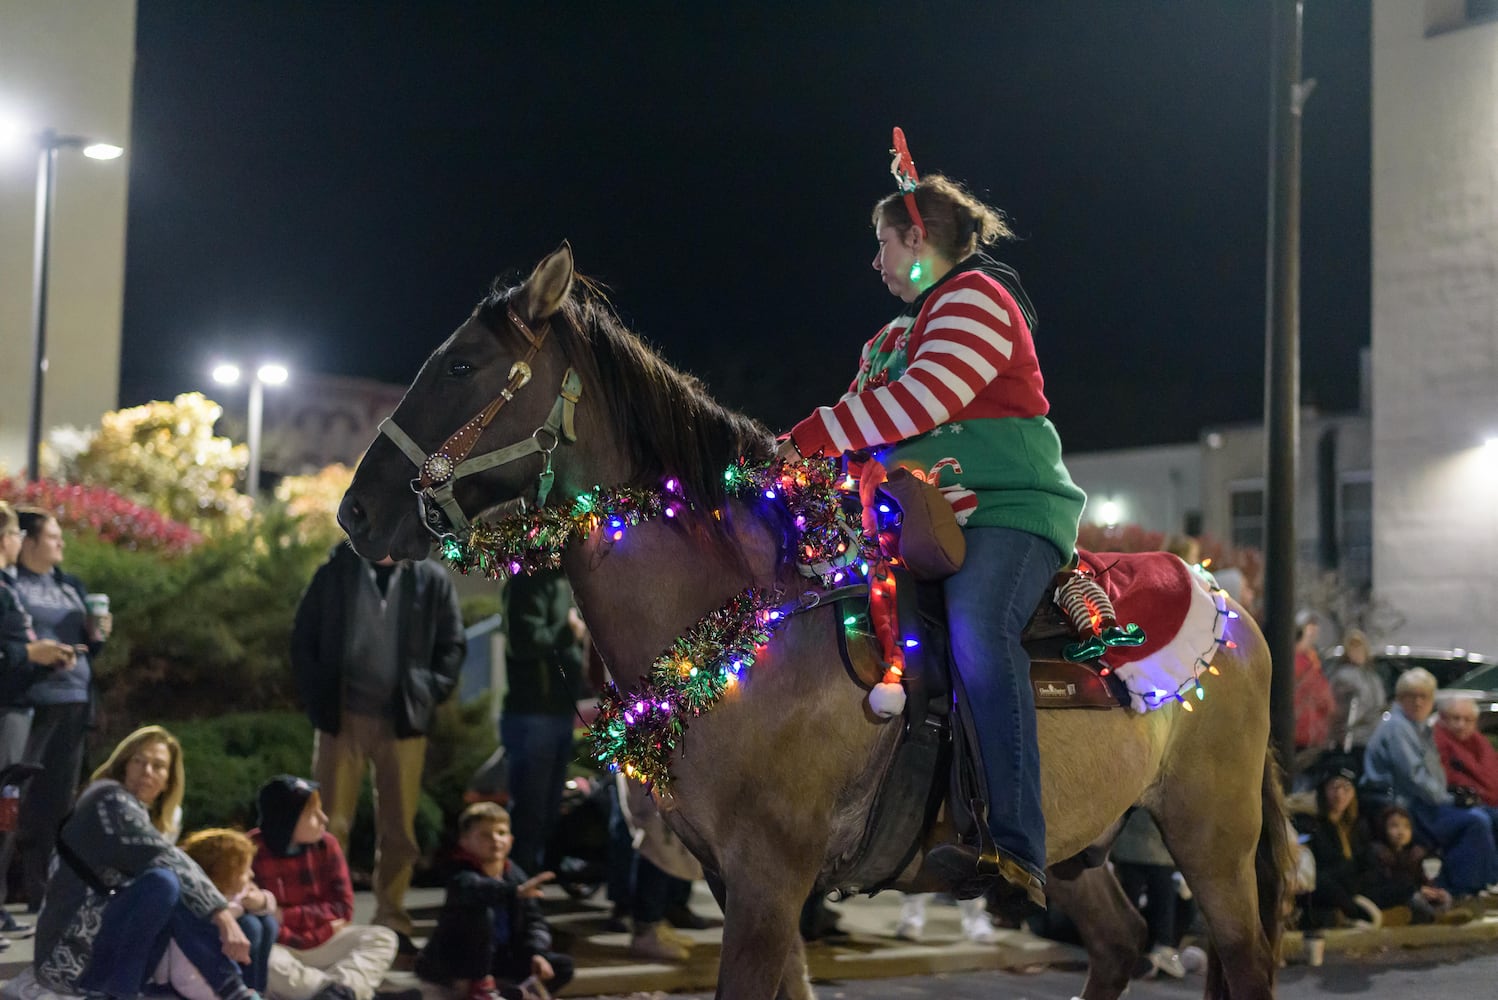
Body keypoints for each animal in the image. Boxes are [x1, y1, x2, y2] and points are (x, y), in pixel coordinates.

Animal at [340, 245, 1288, 999]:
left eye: (461, 366)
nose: (356, 513)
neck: (741, 620)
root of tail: (1230, 604)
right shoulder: (738, 883)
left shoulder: (769, 880)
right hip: (1083, 844)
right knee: (1123, 945)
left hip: (1212, 835)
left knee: (1242, 959)